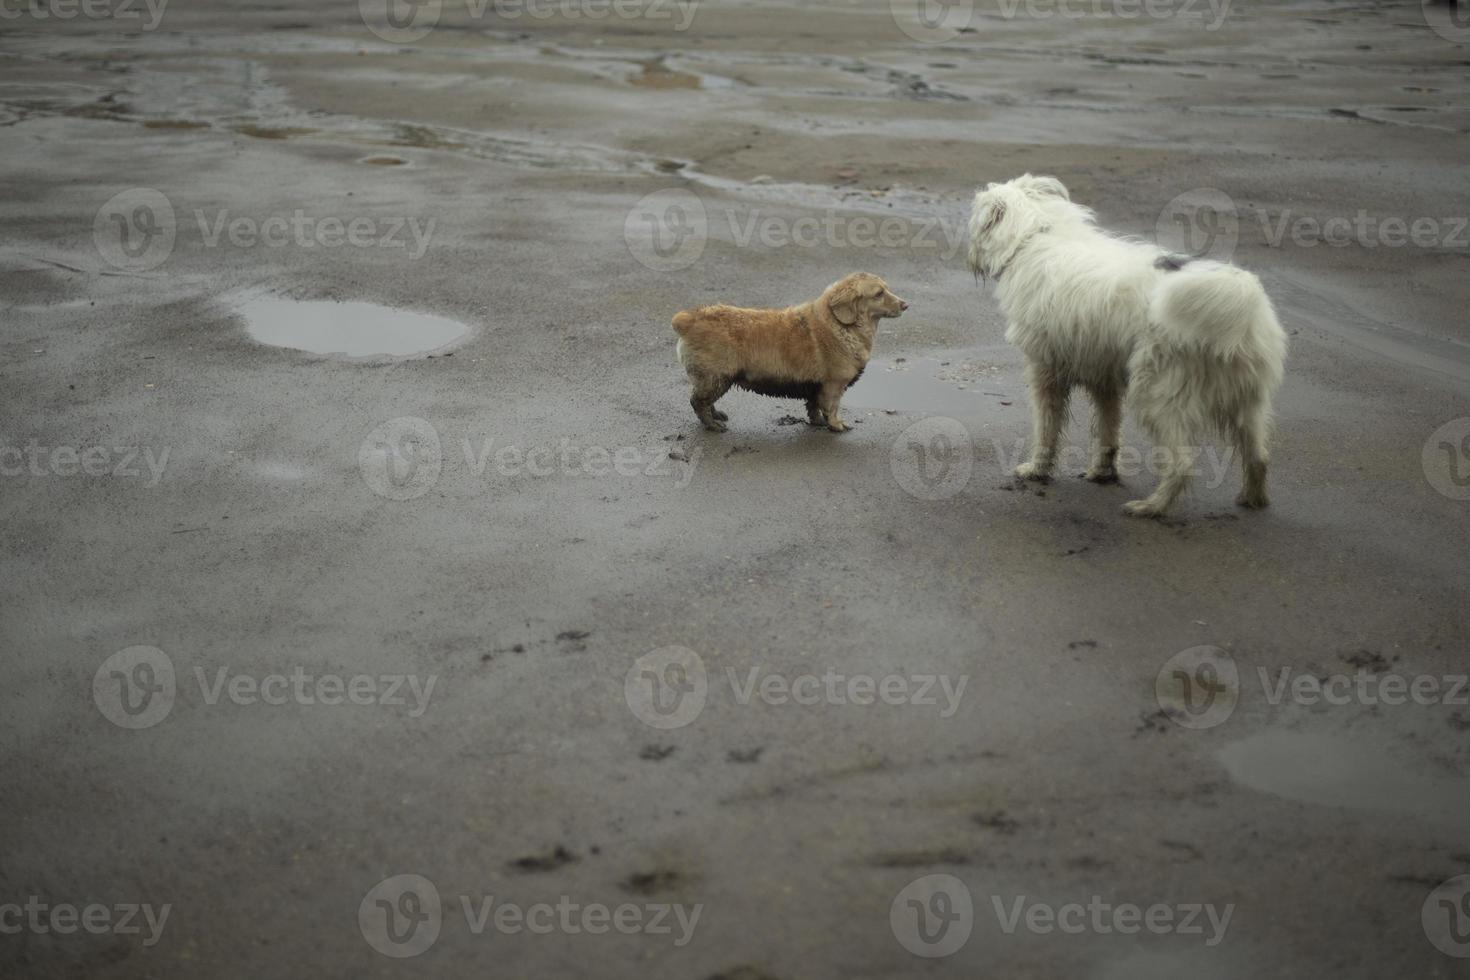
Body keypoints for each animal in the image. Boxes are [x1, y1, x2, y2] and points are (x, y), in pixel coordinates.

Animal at [673, 271, 905, 431]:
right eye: (879, 293)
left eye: (886, 289)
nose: (905, 305)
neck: (839, 325)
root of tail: (688, 320)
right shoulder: (833, 385)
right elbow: (831, 408)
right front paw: (837, 425)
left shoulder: (816, 386)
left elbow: (814, 407)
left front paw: (818, 422)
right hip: (716, 377)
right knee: (698, 402)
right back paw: (713, 425)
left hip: (714, 379)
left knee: (706, 401)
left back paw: (717, 416)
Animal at [976, 176, 1287, 517]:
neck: (1038, 232)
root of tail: (1237, 299)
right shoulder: (1103, 377)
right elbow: (1109, 430)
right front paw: (1103, 472)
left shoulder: (1045, 371)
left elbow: (1047, 428)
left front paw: (1036, 470)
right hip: (1247, 402)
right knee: (1258, 455)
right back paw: (1252, 498)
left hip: (1159, 393)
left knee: (1182, 464)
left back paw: (1152, 507)